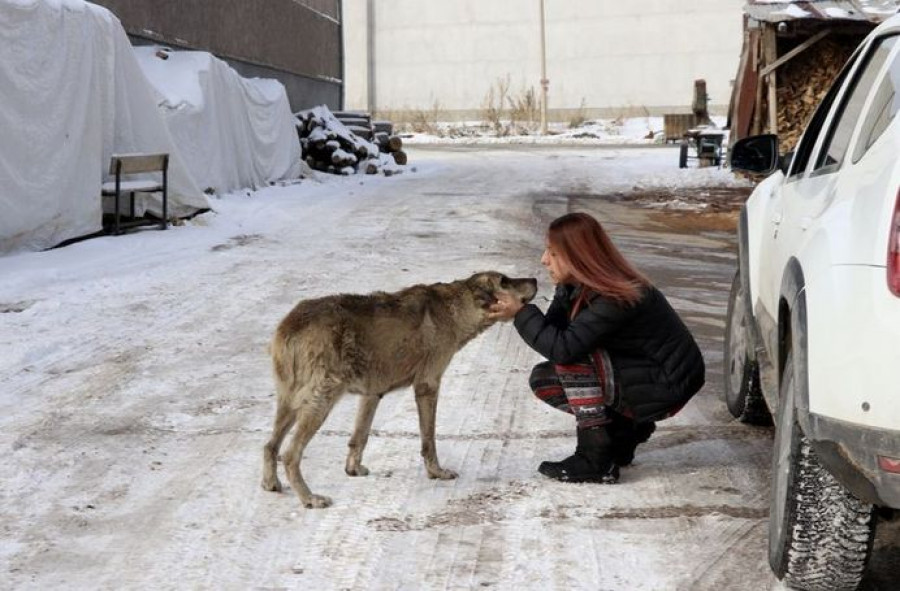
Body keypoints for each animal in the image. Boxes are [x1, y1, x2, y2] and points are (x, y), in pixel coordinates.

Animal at [260, 272, 536, 508]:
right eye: (505, 280)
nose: (534, 279)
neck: (457, 307)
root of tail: (290, 326)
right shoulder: (428, 385)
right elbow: (429, 438)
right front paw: (436, 472)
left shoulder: (372, 394)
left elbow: (359, 437)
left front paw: (353, 470)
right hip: (320, 402)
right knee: (290, 454)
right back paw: (309, 498)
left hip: (289, 403)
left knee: (270, 445)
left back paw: (271, 483)